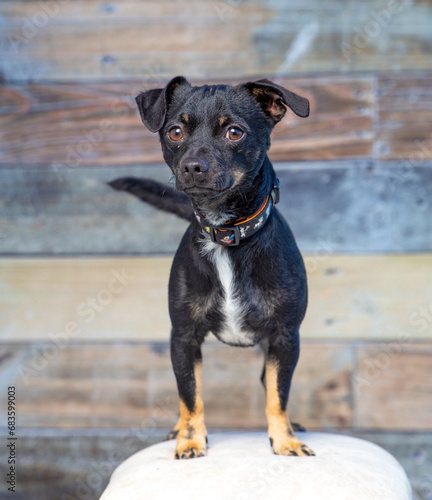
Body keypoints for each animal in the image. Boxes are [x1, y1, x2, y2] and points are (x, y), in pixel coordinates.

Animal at [109, 77, 316, 460]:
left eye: (235, 132)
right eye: (175, 132)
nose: (192, 166)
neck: (226, 236)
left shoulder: (284, 338)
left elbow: (278, 396)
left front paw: (285, 441)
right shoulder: (183, 337)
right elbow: (190, 395)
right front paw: (190, 440)